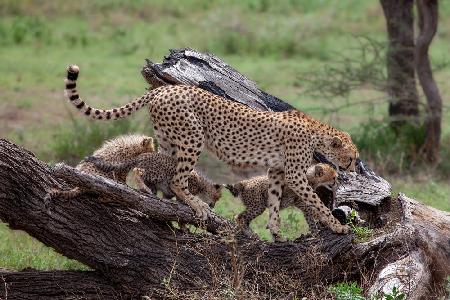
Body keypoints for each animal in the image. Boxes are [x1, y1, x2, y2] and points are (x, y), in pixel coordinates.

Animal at [64, 65, 358, 241]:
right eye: (352, 157)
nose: (354, 168)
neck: (317, 133)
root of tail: (168, 86)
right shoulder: (296, 174)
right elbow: (315, 202)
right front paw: (337, 226)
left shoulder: (276, 170)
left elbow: (274, 202)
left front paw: (276, 232)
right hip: (192, 137)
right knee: (177, 179)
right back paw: (196, 204)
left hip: (169, 141)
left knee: (161, 167)